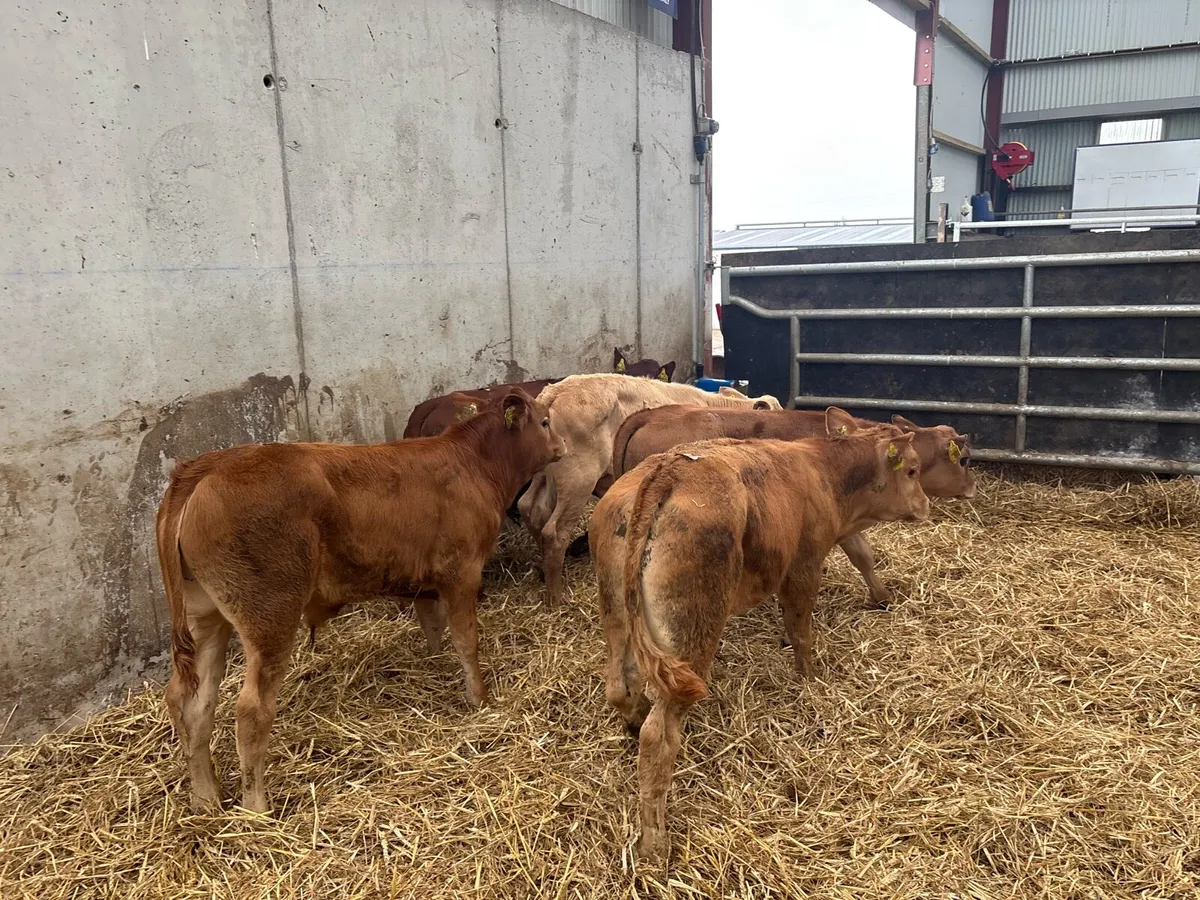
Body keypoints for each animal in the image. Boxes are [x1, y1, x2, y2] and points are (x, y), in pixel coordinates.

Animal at [157, 388, 565, 814]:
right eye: (545, 421)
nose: (562, 447)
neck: (473, 463)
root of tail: (205, 467)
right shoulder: (462, 574)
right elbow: (467, 642)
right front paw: (479, 698)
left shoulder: (423, 582)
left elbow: (433, 626)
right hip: (269, 617)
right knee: (251, 711)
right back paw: (258, 808)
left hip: (205, 618)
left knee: (192, 702)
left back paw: (206, 796)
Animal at [516, 374, 782, 606]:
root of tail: (555, 392)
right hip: (578, 480)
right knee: (554, 531)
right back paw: (556, 596)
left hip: (543, 477)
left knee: (530, 509)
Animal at [588, 409, 930, 858]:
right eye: (912, 469)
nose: (925, 505)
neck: (823, 470)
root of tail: (668, 471)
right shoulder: (804, 565)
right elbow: (801, 628)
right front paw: (809, 677)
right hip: (692, 633)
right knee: (659, 737)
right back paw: (654, 840)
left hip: (617, 614)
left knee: (619, 685)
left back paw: (635, 716)